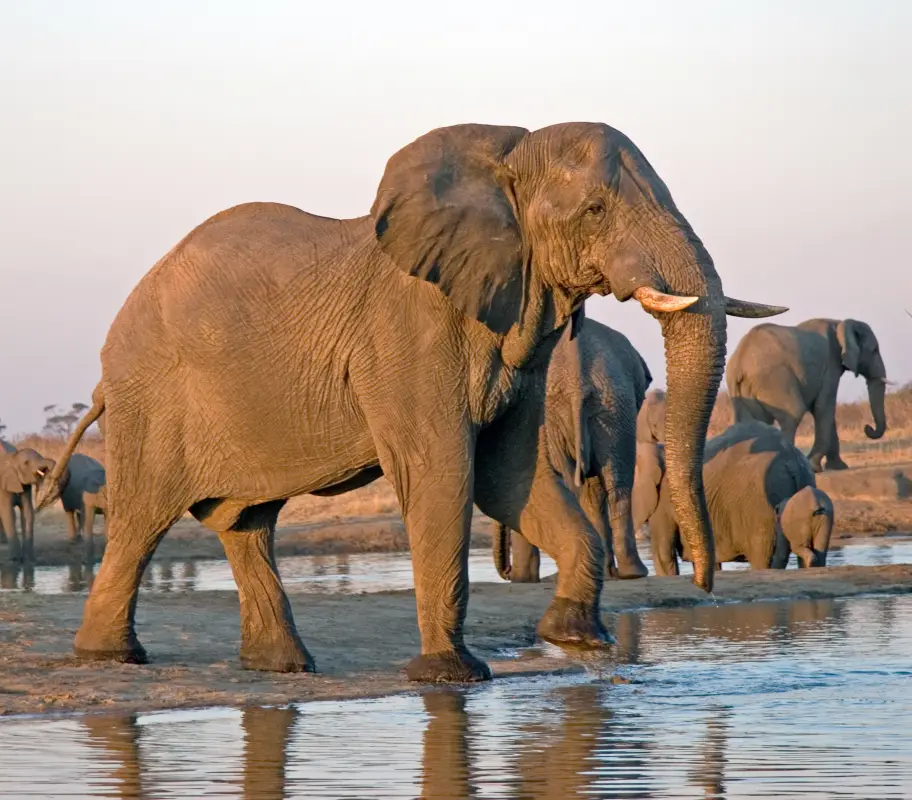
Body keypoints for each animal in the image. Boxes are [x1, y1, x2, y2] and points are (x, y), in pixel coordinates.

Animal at [490, 316, 652, 583]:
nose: (506, 571)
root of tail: (577, 380)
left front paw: (522, 579)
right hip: (613, 411)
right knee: (615, 486)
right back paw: (626, 573)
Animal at [634, 421, 817, 574]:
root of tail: (791, 461)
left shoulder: (664, 501)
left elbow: (663, 554)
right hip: (802, 484)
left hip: (760, 507)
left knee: (762, 558)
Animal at [727, 318, 887, 472]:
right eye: (874, 350)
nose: (868, 427)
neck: (840, 323)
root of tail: (739, 362)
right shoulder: (830, 365)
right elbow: (824, 407)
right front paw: (814, 467)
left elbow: (821, 410)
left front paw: (838, 467)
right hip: (774, 380)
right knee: (793, 413)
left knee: (751, 423)